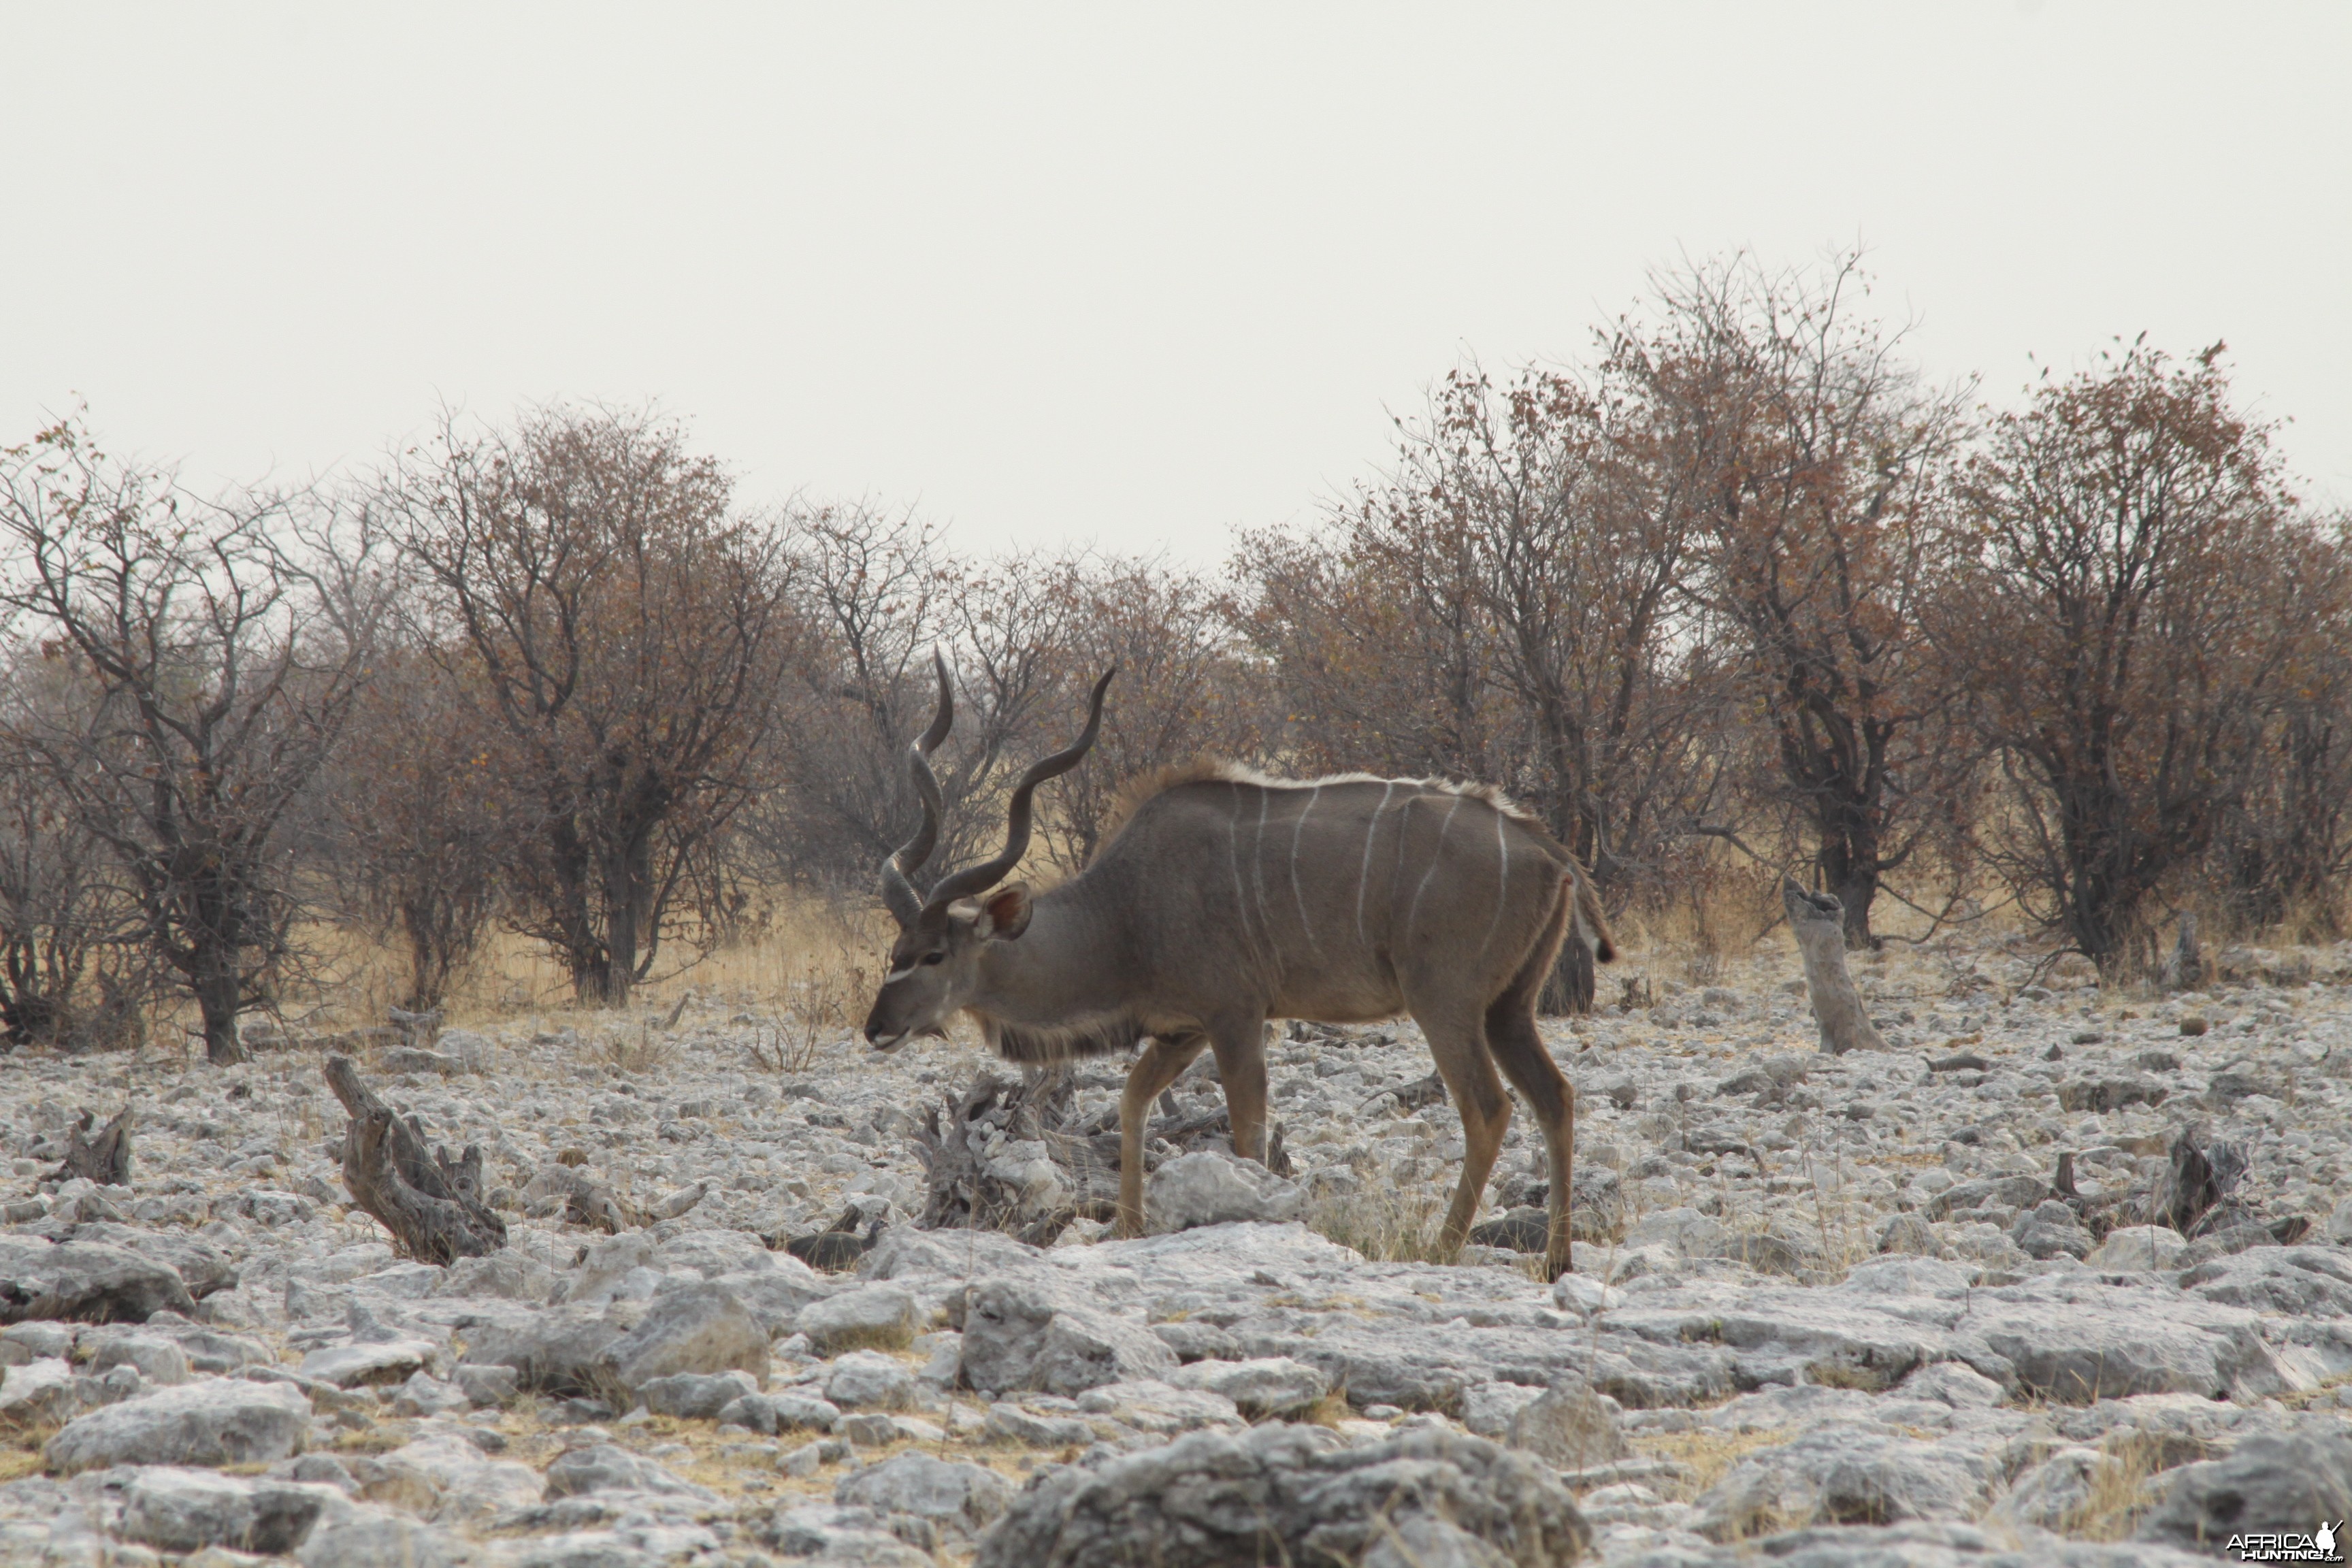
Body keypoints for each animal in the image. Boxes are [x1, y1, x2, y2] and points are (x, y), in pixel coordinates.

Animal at [865, 658, 1618, 1279]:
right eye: (894, 951)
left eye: (934, 955)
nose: (877, 1028)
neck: (1125, 910)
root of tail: (1547, 848)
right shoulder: (1183, 1029)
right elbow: (1134, 1101)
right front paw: (1128, 1228)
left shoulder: (1234, 1017)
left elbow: (1247, 1130)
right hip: (1508, 1010)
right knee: (1555, 1096)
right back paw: (1557, 1259)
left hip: (1445, 1003)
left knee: (1487, 1107)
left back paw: (1442, 1246)